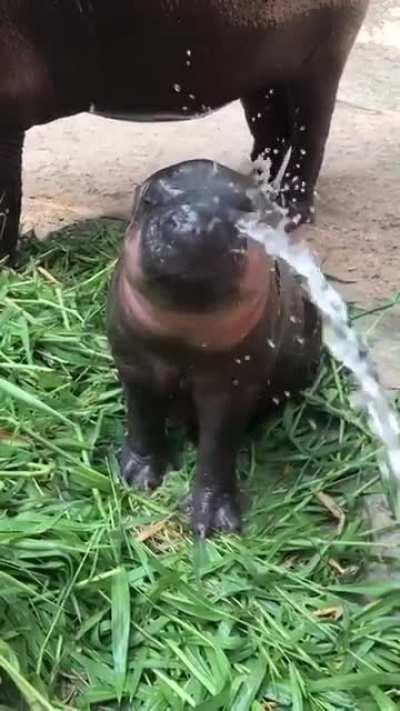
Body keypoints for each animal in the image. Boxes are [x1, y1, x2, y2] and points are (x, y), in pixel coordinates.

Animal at [0, 0, 368, 262]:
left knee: (311, 136)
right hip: (264, 70)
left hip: (322, 59)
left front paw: (8, 266)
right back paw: (249, 191)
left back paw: (289, 214)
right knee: (274, 134)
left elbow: (6, 196)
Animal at [107, 160, 322, 536]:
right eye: (150, 198)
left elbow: (218, 448)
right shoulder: (133, 365)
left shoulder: (231, 386)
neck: (182, 333)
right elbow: (142, 418)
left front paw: (214, 523)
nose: (196, 222)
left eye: (249, 210)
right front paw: (137, 478)